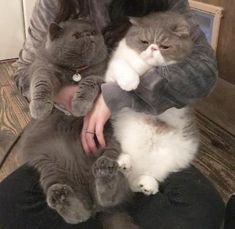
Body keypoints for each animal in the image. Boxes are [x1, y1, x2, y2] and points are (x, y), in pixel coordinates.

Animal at [104, 11, 198, 195]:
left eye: (164, 46)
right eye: (145, 42)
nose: (153, 48)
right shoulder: (112, 72)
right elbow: (124, 68)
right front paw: (130, 82)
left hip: (180, 153)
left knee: (152, 176)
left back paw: (146, 184)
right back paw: (125, 163)